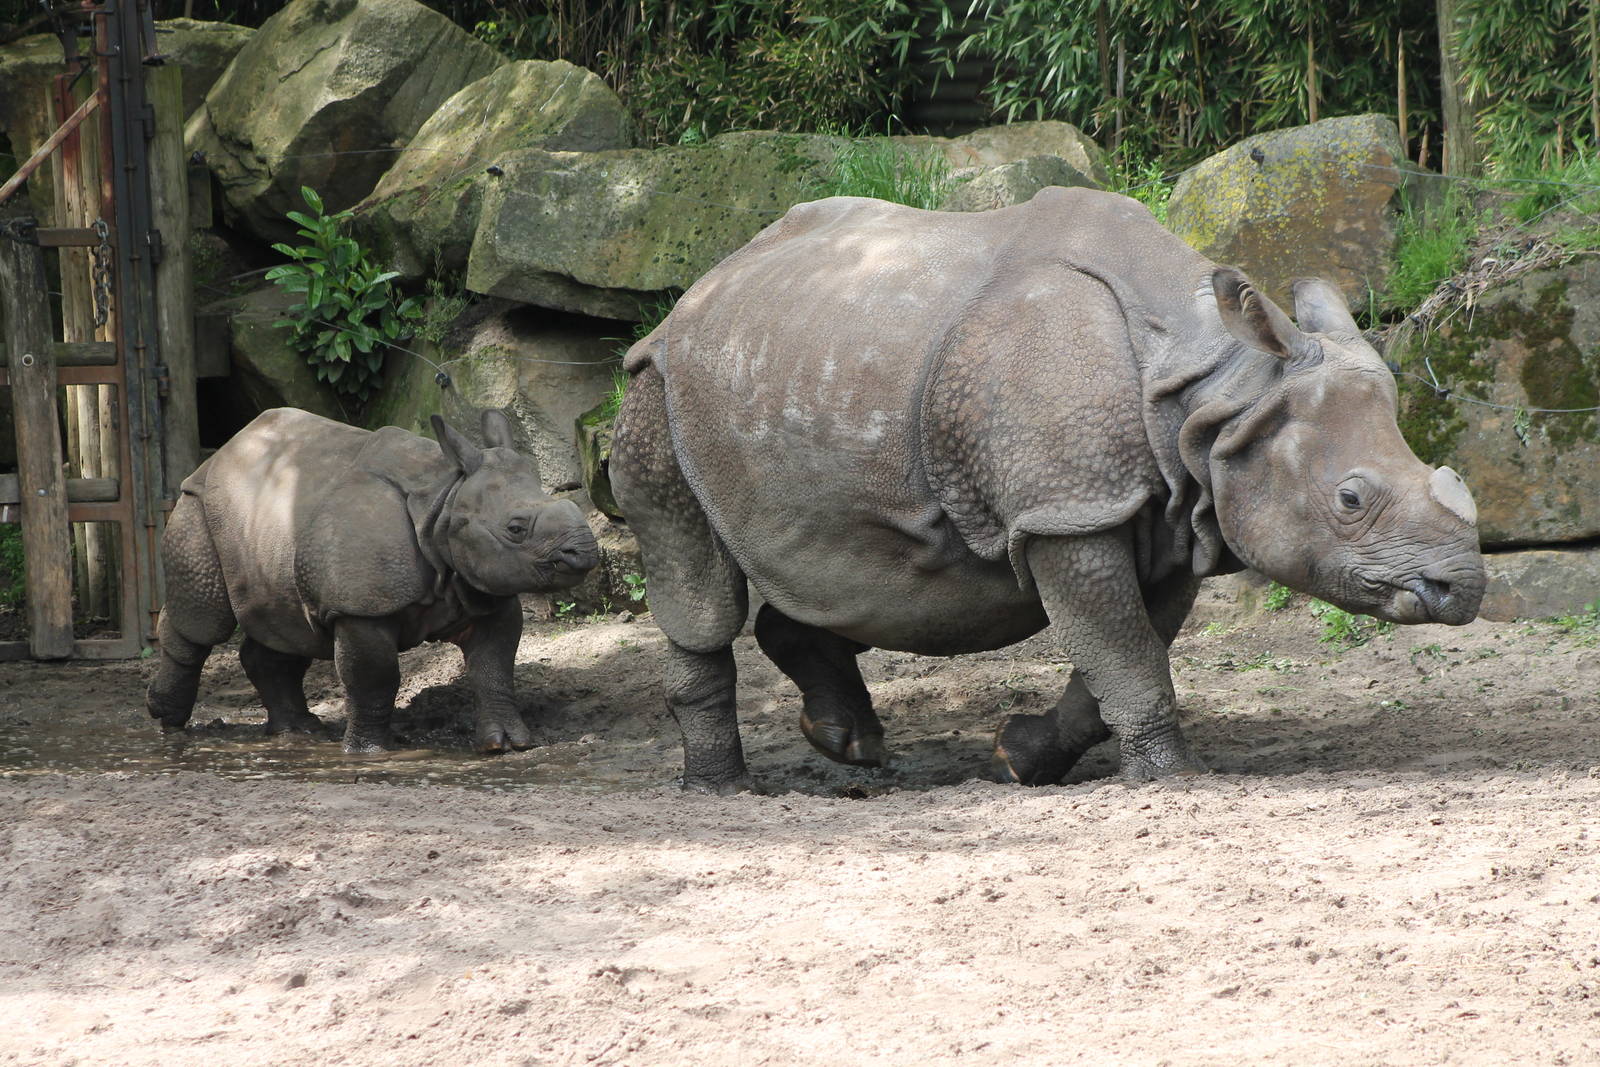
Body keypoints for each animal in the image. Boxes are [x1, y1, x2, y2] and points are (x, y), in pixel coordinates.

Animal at [146, 408, 600, 753]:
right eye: (516, 529)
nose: (585, 552)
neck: (446, 500)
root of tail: (221, 451)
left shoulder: (485, 589)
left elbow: (495, 668)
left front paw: (508, 744)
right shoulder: (359, 607)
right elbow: (374, 677)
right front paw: (369, 751)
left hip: (269, 525)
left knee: (286, 624)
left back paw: (298, 731)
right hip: (197, 505)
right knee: (205, 620)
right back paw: (167, 719)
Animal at [609, 186, 1486, 793]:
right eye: (1350, 499)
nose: (1464, 587)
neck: (1218, 391)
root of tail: (698, 287)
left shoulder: (1165, 511)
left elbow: (1123, 651)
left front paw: (1018, 758)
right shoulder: (1071, 509)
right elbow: (1125, 650)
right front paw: (1173, 778)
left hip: (793, 364)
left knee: (828, 568)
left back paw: (847, 744)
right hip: (656, 392)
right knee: (694, 579)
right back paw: (723, 788)